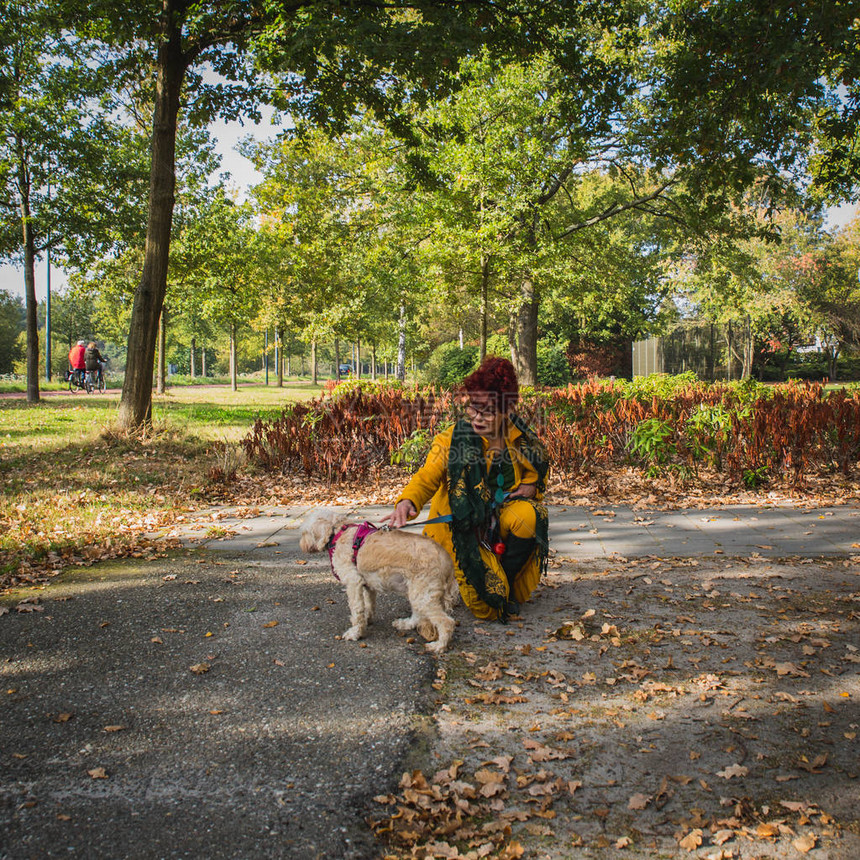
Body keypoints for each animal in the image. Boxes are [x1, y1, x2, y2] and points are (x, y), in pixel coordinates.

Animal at [300, 510, 460, 652]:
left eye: (304, 532)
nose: (301, 545)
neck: (338, 532)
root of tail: (447, 559)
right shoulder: (366, 585)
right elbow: (368, 605)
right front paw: (367, 620)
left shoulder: (353, 583)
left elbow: (356, 610)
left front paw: (355, 633)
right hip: (416, 591)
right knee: (418, 614)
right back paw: (406, 623)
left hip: (423, 594)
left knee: (447, 622)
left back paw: (439, 646)